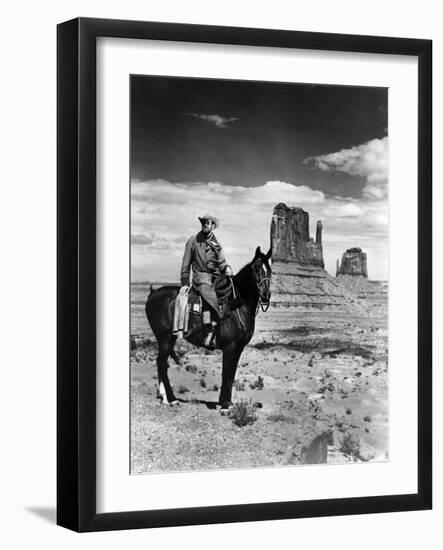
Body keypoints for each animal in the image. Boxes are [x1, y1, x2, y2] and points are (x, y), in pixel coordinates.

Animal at [146, 248, 272, 412]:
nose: (266, 295)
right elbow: (226, 373)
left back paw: (164, 396)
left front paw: (228, 402)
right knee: (161, 363)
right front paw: (225, 405)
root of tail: (153, 293)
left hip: (169, 338)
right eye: (256, 268)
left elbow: (231, 373)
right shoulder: (230, 347)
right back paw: (171, 399)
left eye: (269, 269)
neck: (237, 305)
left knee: (161, 363)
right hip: (164, 338)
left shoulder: (239, 348)